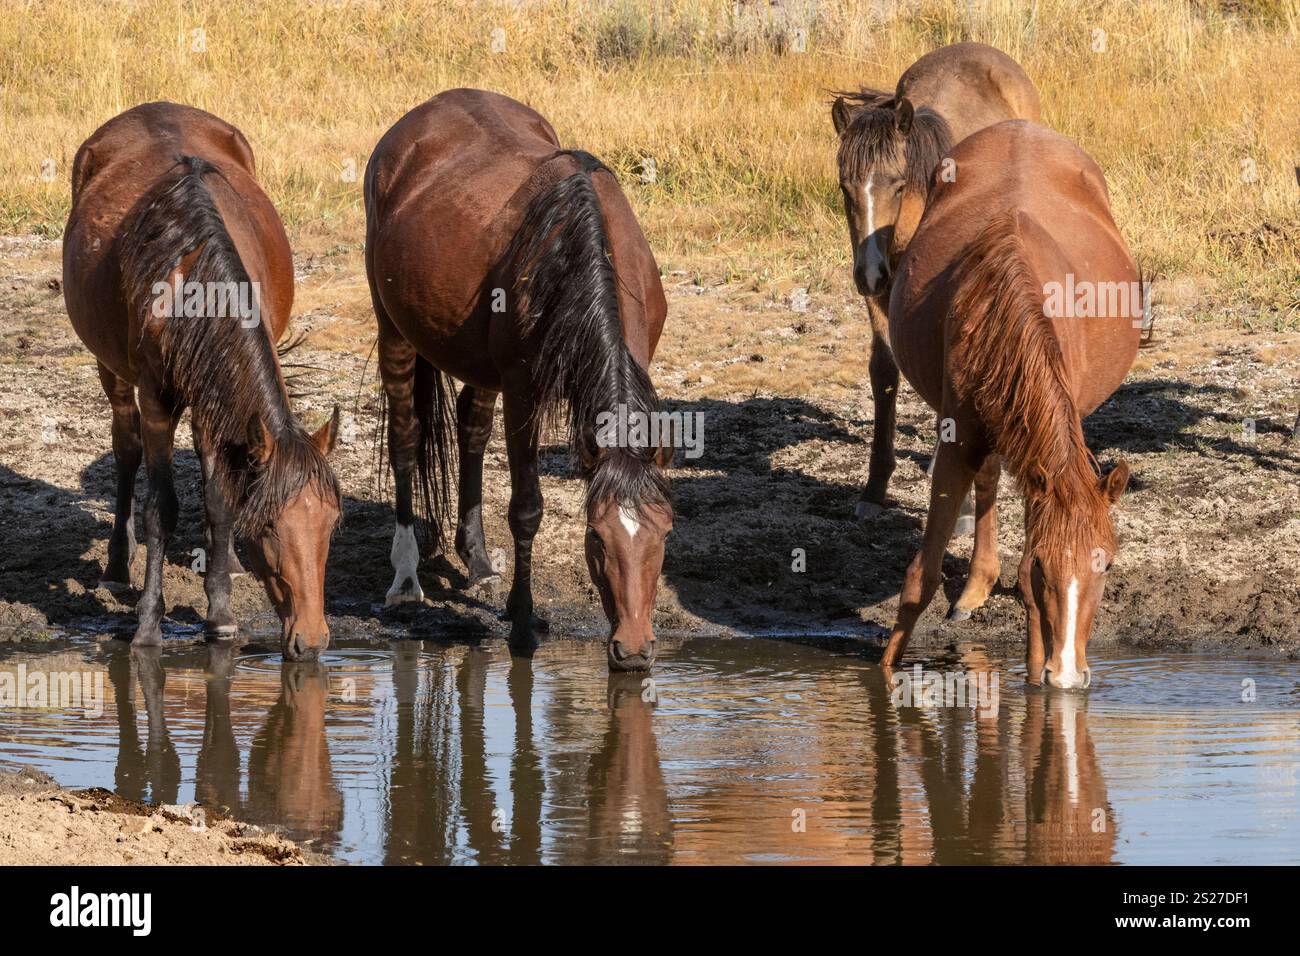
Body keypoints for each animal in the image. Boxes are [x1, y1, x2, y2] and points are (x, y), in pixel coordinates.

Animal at [62, 102, 341, 662]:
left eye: (330, 525)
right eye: (271, 528)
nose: (312, 640)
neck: (195, 281)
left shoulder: (217, 397)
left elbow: (219, 499)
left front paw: (222, 614)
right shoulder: (157, 400)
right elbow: (160, 508)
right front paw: (149, 624)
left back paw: (223, 557)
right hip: (113, 369)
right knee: (125, 448)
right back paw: (119, 561)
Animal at [364, 89, 672, 672]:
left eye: (664, 535)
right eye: (596, 540)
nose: (635, 650)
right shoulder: (524, 391)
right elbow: (527, 509)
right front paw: (524, 620)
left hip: (479, 365)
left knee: (471, 430)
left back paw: (479, 560)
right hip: (394, 330)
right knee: (406, 438)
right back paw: (406, 575)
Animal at [831, 42, 1040, 518]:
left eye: (897, 183)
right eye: (845, 187)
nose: (868, 271)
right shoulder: (882, 295)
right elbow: (884, 370)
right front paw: (875, 484)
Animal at [882, 120, 1140, 689]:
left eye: (1107, 565)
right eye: (1047, 564)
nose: (1070, 673)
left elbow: (1022, 585)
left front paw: (1043, 675)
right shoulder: (957, 444)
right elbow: (920, 578)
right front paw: (883, 678)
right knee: (986, 479)